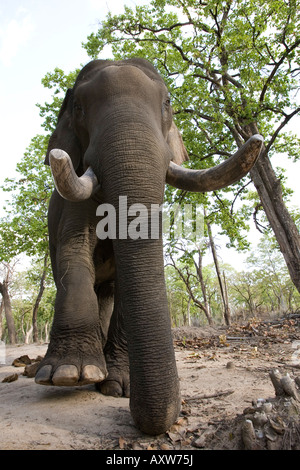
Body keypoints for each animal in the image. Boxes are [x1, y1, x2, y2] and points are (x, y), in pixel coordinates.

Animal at [35, 58, 262, 436]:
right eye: (79, 107)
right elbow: (73, 249)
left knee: (109, 292)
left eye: (168, 103)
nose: (165, 419)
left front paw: (118, 386)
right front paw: (67, 375)